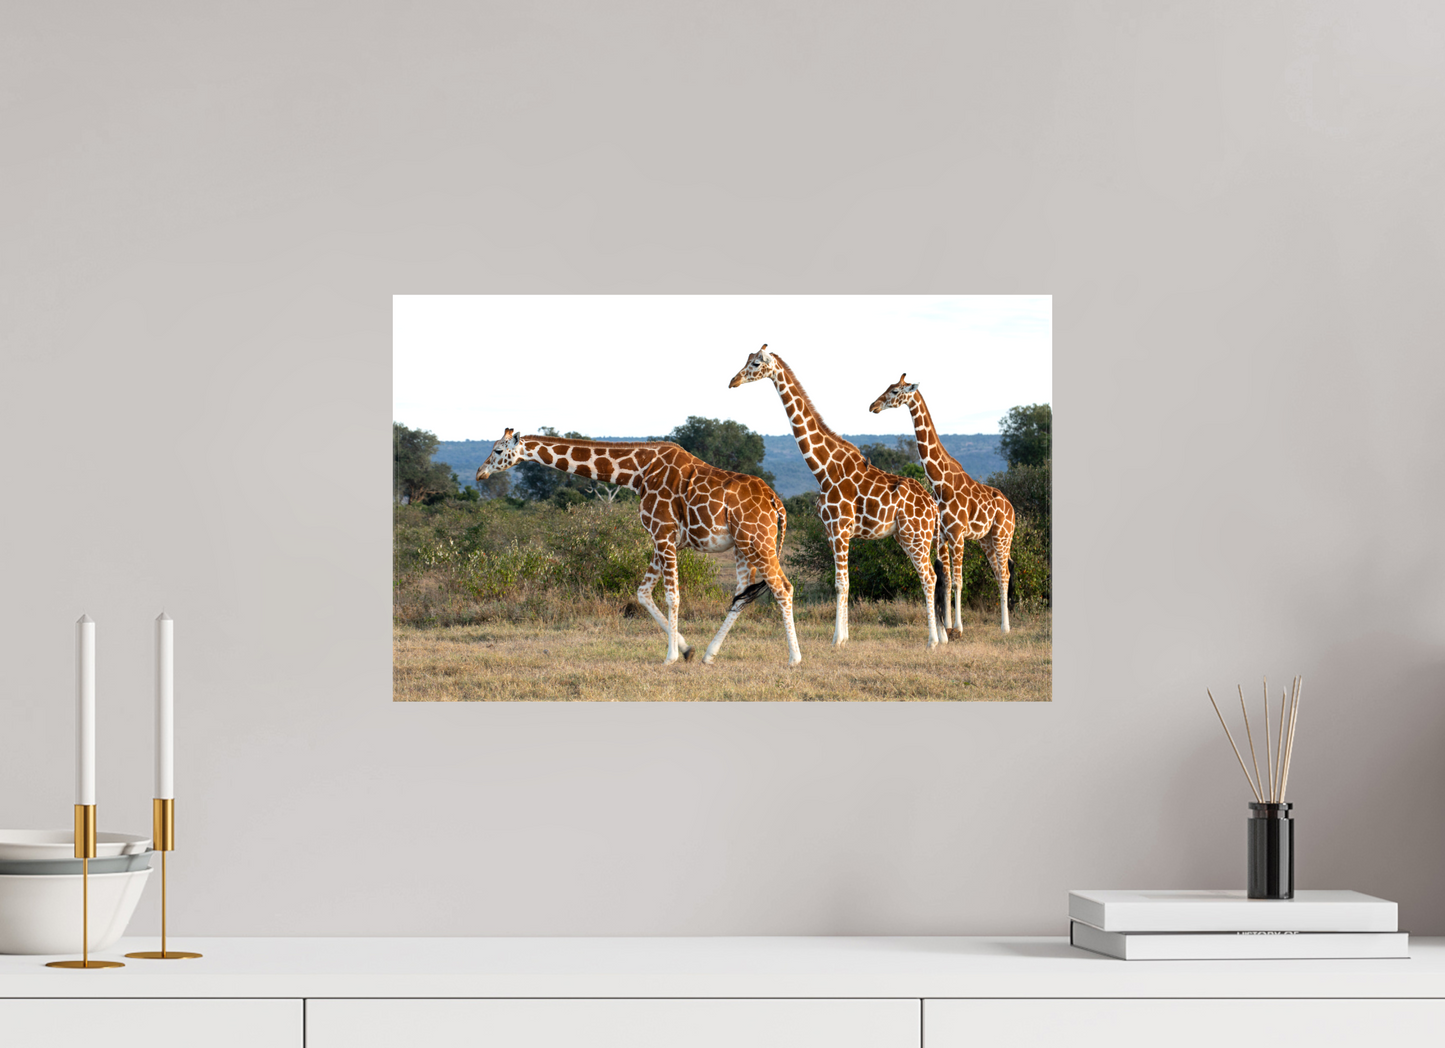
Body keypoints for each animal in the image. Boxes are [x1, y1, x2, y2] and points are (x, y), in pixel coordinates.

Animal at [477, 429, 802, 666]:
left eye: (498, 450)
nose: (480, 473)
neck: (637, 472)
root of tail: (776, 501)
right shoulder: (664, 539)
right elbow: (642, 593)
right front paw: (687, 650)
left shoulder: (663, 533)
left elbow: (672, 596)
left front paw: (670, 657)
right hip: (741, 545)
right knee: (741, 595)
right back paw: (710, 655)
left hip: (757, 540)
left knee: (782, 588)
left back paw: (794, 658)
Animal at [728, 346, 943, 650]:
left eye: (756, 363)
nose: (733, 381)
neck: (823, 467)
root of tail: (933, 506)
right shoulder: (831, 530)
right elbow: (843, 582)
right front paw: (845, 636)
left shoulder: (840, 528)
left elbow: (842, 583)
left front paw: (837, 639)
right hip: (907, 537)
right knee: (932, 575)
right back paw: (939, 637)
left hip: (917, 536)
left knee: (929, 577)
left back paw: (932, 641)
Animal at [870, 375, 1017, 634]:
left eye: (895, 391)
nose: (873, 406)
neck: (940, 483)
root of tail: (1012, 509)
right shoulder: (941, 536)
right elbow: (946, 579)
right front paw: (946, 625)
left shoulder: (957, 534)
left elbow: (958, 581)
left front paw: (958, 627)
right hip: (987, 540)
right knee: (999, 573)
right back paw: (1002, 624)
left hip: (1002, 535)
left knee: (1006, 574)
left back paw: (1005, 627)